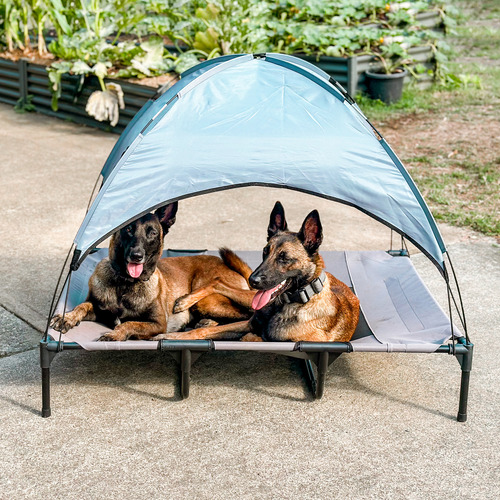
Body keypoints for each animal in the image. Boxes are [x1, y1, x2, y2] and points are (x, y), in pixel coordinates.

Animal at [50, 201, 254, 342]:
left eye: (153, 233)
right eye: (128, 229)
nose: (136, 256)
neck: (125, 284)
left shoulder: (157, 324)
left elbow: (130, 323)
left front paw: (115, 334)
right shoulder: (99, 308)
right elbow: (82, 306)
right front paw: (67, 318)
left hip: (206, 302)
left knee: (247, 315)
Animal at [153, 201, 360, 342]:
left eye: (284, 258)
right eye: (265, 252)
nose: (253, 280)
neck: (289, 305)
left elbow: (253, 336)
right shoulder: (250, 322)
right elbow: (200, 332)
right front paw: (171, 336)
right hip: (249, 299)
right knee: (218, 283)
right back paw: (185, 301)